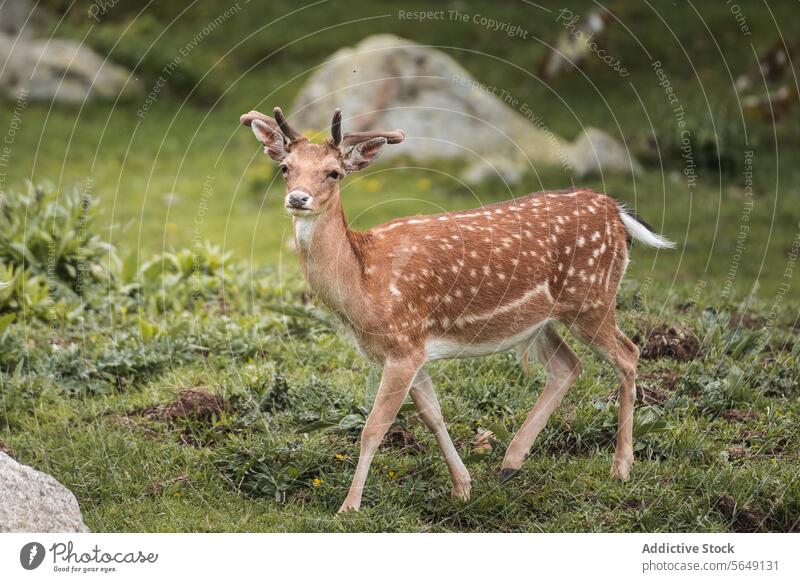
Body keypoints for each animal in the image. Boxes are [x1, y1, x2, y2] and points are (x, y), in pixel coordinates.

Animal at [239, 107, 676, 512]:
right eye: (285, 168)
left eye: (333, 173)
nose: (298, 198)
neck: (364, 285)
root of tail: (617, 213)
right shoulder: (411, 349)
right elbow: (433, 415)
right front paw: (462, 487)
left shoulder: (404, 342)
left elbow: (374, 427)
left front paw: (349, 506)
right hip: (541, 320)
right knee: (567, 365)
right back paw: (510, 462)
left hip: (593, 296)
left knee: (628, 353)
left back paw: (621, 468)